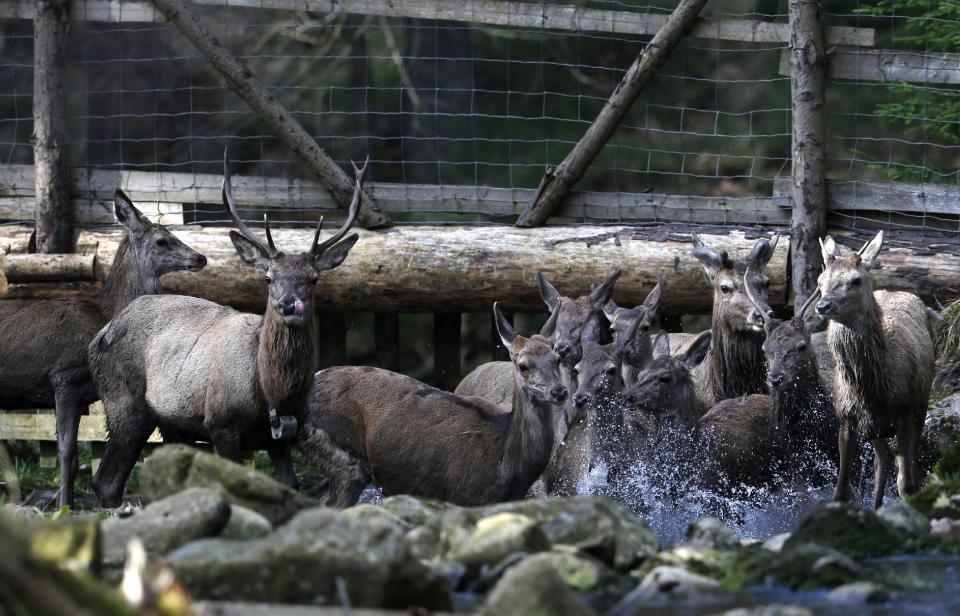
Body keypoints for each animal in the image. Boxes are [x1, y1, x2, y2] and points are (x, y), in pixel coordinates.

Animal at [0, 191, 204, 506]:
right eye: (162, 240)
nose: (201, 257)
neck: (103, 313)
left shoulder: (83, 392)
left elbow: (73, 458)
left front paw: (68, 503)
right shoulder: (64, 375)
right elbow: (67, 450)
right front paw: (64, 506)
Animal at [89, 154, 364, 506]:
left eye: (314, 278)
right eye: (268, 277)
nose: (289, 305)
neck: (272, 395)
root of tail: (101, 334)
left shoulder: (281, 437)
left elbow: (290, 486)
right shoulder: (222, 424)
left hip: (170, 423)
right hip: (123, 400)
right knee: (106, 481)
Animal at [812, 233, 932, 508]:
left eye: (855, 280)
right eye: (820, 280)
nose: (823, 305)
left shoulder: (905, 412)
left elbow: (906, 485)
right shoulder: (846, 418)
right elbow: (841, 491)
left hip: (921, 405)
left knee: (905, 465)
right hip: (877, 428)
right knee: (882, 462)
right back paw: (876, 506)